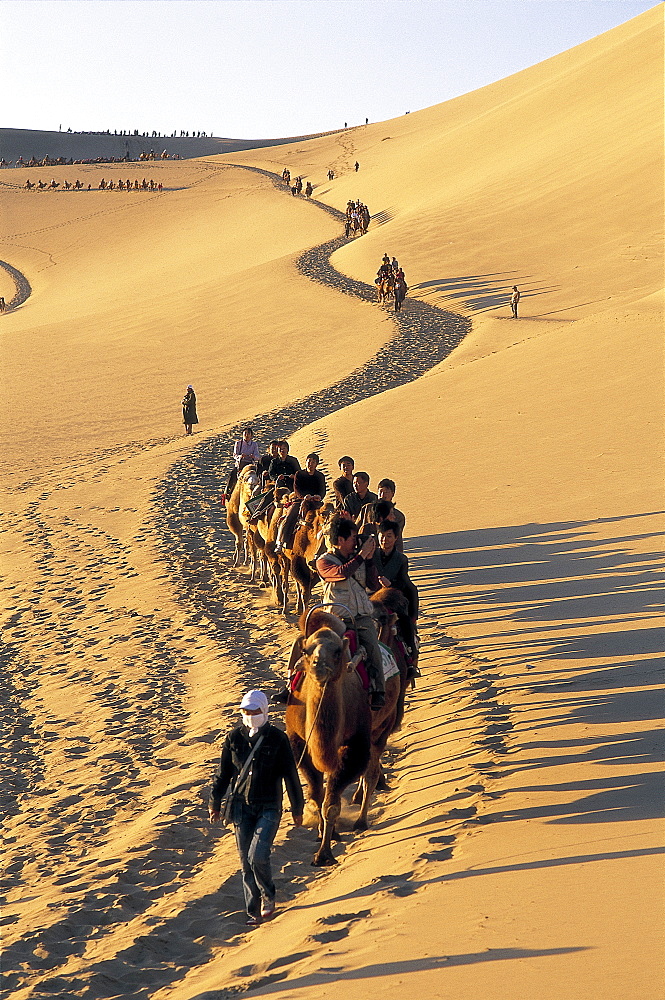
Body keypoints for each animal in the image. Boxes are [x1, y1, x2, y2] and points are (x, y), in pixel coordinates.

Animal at [284, 608, 370, 868]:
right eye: (305, 651)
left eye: (338, 651)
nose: (318, 666)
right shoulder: (298, 743)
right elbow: (316, 795)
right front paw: (324, 834)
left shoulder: (355, 747)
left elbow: (331, 805)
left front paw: (324, 854)